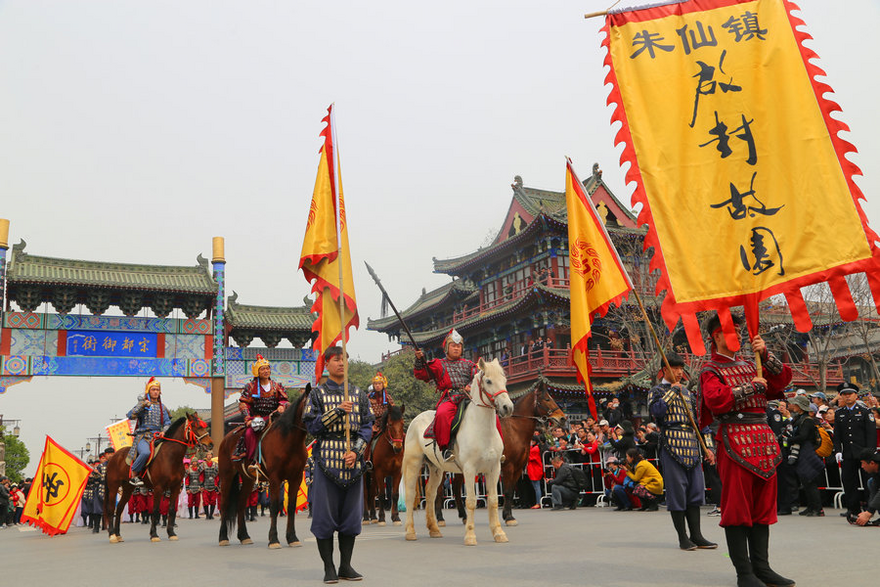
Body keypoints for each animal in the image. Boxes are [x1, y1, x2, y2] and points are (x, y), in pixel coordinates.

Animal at [102, 416, 211, 544]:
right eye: (196, 426)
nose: (210, 444)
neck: (171, 457)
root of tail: (113, 457)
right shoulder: (158, 488)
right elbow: (155, 510)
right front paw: (154, 534)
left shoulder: (175, 487)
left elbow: (171, 509)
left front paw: (171, 533)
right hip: (113, 487)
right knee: (111, 509)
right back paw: (112, 535)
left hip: (128, 488)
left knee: (119, 509)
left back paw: (118, 534)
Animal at [218, 388, 312, 548]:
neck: (288, 441)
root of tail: (226, 438)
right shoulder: (274, 478)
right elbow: (274, 506)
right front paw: (273, 539)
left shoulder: (296, 478)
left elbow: (291, 507)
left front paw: (292, 538)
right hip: (226, 476)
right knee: (224, 503)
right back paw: (223, 537)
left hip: (248, 480)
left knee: (241, 504)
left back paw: (244, 536)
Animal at [402, 358, 512, 548]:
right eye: (488, 381)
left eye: (504, 380)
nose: (507, 407)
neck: (482, 429)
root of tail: (416, 419)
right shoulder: (469, 469)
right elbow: (471, 501)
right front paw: (470, 536)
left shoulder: (494, 469)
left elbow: (493, 500)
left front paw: (498, 533)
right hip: (413, 463)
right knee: (410, 494)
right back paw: (410, 532)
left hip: (436, 469)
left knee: (430, 494)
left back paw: (434, 529)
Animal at [434, 386, 572, 528]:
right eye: (547, 399)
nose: (563, 418)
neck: (516, 430)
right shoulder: (508, 466)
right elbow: (507, 491)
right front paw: (509, 516)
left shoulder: (518, 468)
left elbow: (510, 492)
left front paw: (508, 515)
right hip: (441, 468)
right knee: (438, 491)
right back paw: (440, 518)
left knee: (456, 489)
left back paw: (464, 516)